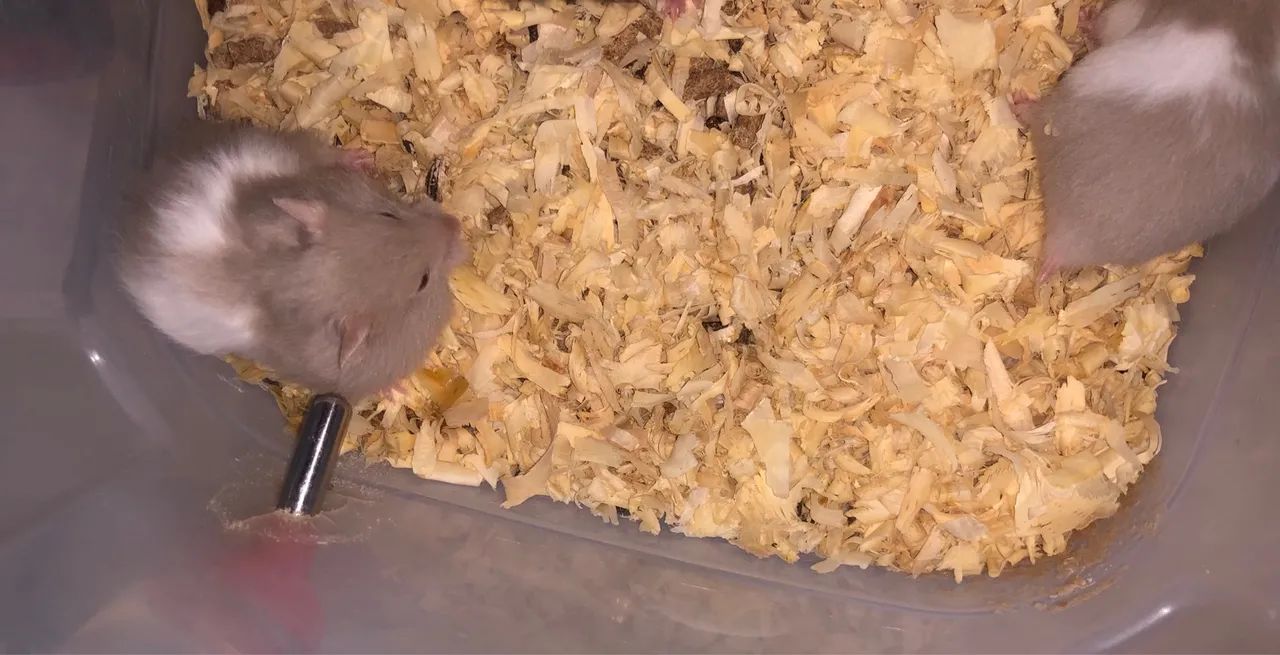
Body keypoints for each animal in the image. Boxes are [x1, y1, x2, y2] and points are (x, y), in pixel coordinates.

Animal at [117, 121, 466, 400]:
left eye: (387, 214)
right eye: (422, 281)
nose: (456, 224)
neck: (291, 278)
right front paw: (396, 391)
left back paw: (359, 157)